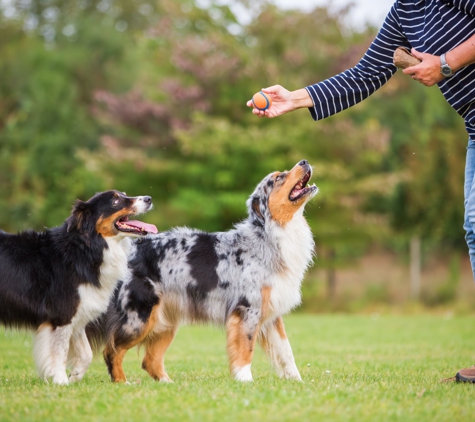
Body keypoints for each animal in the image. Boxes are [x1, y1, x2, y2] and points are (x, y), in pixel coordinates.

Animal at [0, 191, 157, 386]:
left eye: (124, 194)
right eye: (115, 200)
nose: (149, 198)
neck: (86, 248)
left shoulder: (80, 312)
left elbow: (86, 354)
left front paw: (74, 376)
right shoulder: (62, 315)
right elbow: (59, 352)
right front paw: (61, 381)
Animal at [99, 161, 318, 382]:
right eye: (278, 178)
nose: (304, 162)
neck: (269, 236)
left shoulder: (272, 314)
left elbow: (286, 352)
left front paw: (297, 381)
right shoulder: (247, 309)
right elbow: (246, 349)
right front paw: (245, 380)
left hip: (165, 320)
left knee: (149, 360)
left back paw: (167, 383)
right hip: (139, 317)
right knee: (112, 350)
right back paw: (122, 383)